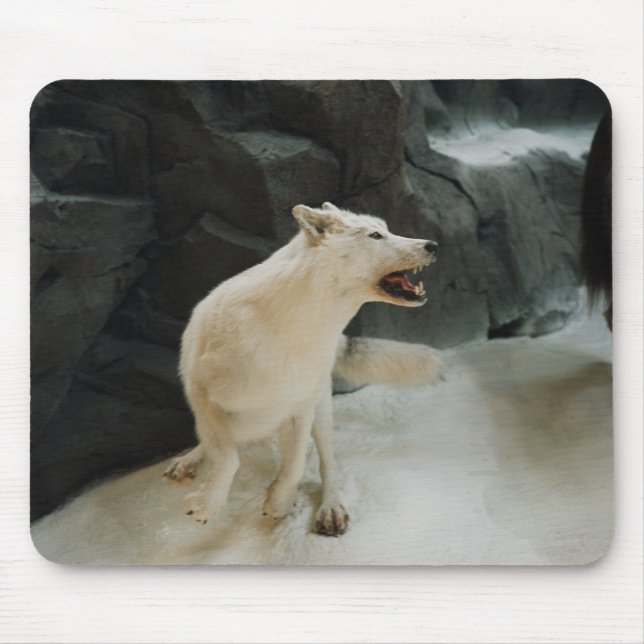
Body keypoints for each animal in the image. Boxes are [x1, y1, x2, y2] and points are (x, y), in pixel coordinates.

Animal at [164, 202, 442, 536]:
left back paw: (330, 508)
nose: (433, 245)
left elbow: (295, 465)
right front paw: (208, 504)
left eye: (386, 230)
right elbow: (228, 458)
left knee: (328, 465)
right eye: (376, 235)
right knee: (215, 444)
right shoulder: (204, 399)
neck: (295, 335)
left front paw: (278, 502)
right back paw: (188, 462)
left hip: (321, 411)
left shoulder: (300, 408)